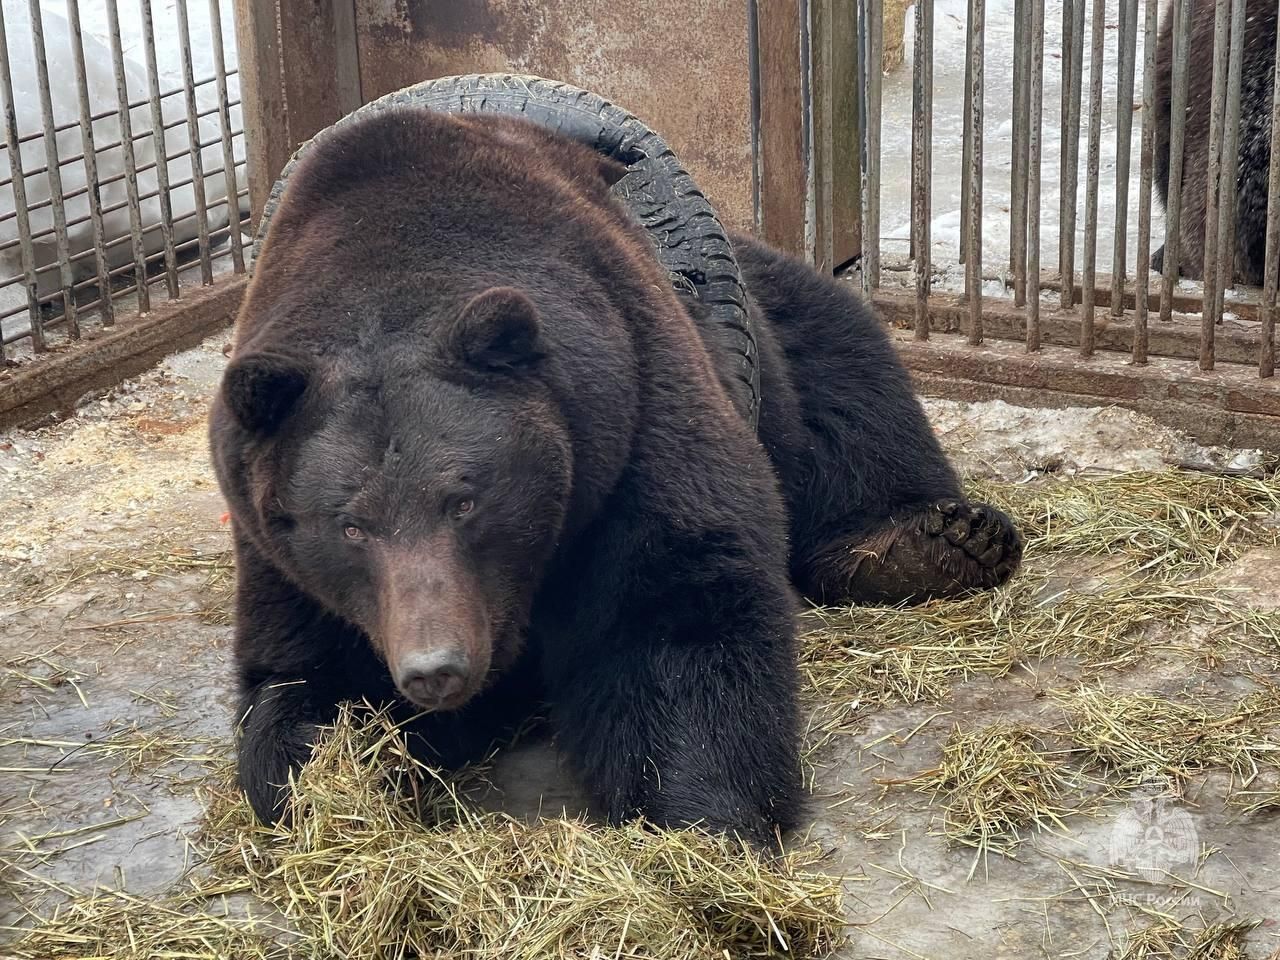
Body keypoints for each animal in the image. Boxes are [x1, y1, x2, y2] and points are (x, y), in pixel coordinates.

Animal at [209, 108, 1022, 848]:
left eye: (465, 500)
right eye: (349, 525)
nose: (435, 666)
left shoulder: (627, 408)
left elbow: (671, 606)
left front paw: (703, 814)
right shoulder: (284, 552)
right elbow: (303, 681)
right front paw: (333, 782)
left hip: (770, 332)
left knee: (845, 376)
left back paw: (934, 541)